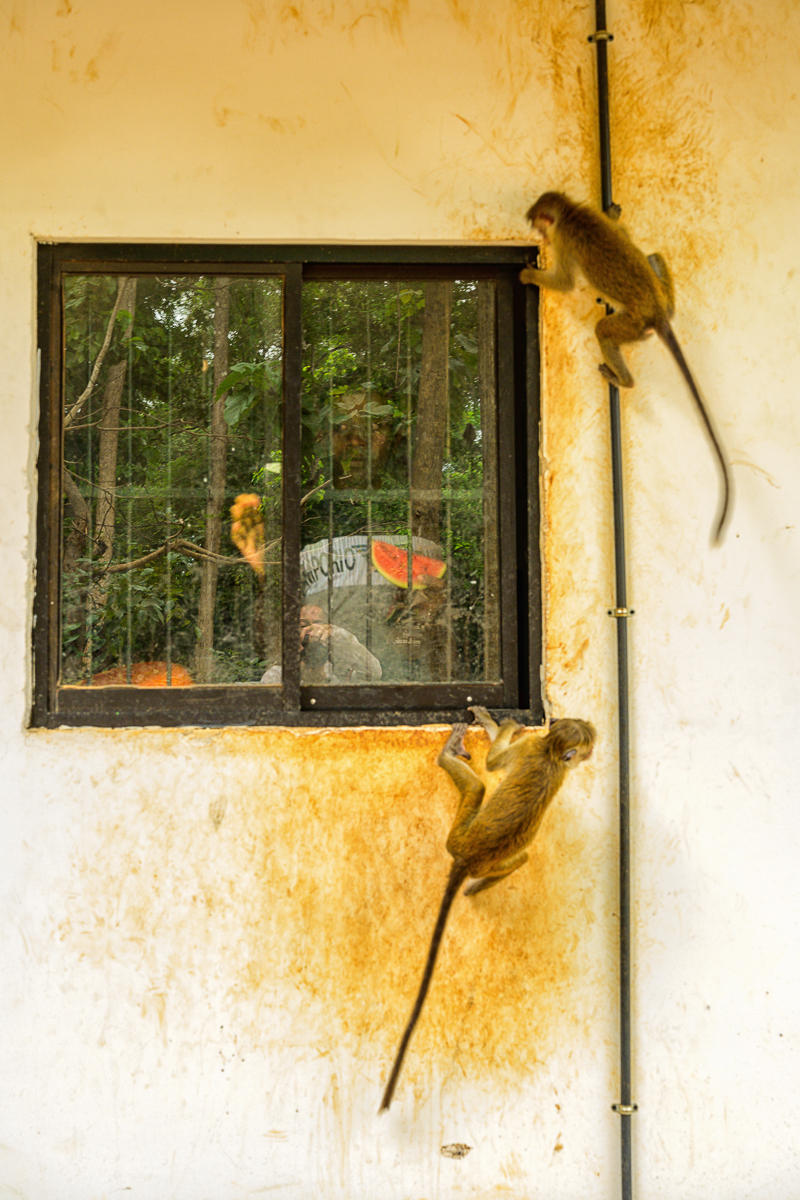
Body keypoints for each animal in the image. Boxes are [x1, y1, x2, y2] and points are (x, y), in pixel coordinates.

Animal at [381, 705, 594, 1108]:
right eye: (587, 738)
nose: (591, 746)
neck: (551, 753)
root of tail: (467, 858)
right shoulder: (534, 748)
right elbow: (496, 763)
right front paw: (504, 725)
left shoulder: (531, 749)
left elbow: (495, 766)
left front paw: (501, 726)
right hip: (468, 845)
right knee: (511, 840)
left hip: (457, 839)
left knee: (482, 792)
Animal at [520, 193, 734, 544]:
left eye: (540, 228)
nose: (541, 238)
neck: (571, 213)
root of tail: (656, 312)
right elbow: (621, 232)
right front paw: (614, 214)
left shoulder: (564, 239)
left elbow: (565, 282)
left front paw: (529, 276)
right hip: (656, 306)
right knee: (652, 255)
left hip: (632, 325)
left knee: (604, 330)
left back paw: (625, 381)